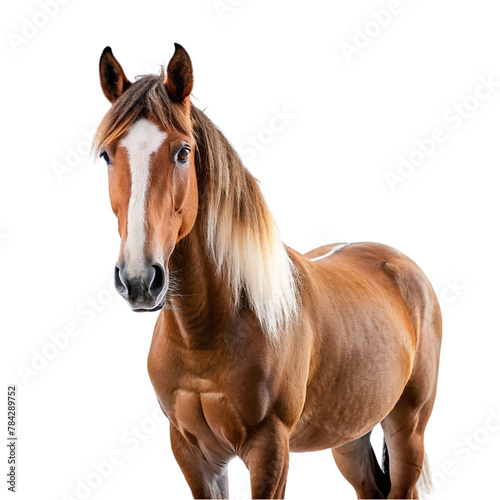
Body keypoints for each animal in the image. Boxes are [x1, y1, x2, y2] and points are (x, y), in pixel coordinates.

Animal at [93, 44, 442, 500]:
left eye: (183, 151)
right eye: (106, 155)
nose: (138, 280)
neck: (207, 333)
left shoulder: (270, 449)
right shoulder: (193, 452)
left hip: (408, 429)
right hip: (349, 436)